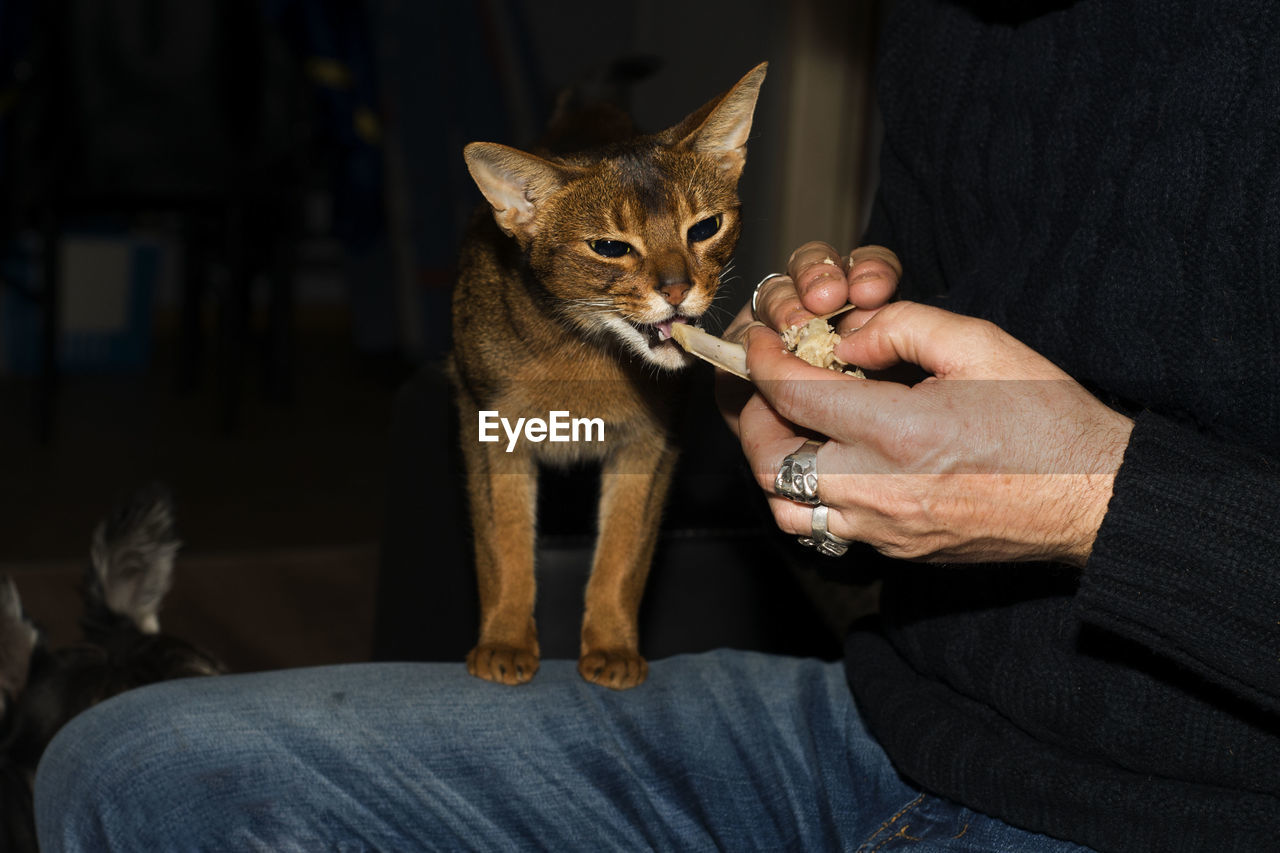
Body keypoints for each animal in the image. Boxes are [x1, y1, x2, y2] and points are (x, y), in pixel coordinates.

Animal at [450, 61, 762, 686]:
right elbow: (504, 544)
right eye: (609, 247)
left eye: (705, 227)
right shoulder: (488, 428)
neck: (586, 359)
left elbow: (622, 553)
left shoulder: (651, 444)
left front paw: (613, 648)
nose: (677, 289)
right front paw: (503, 640)